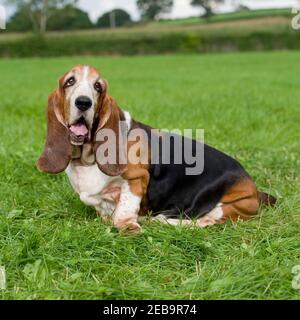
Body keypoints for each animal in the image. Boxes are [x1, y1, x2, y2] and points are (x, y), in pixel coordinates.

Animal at [37, 65, 276, 234]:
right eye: (70, 81)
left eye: (98, 87)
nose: (84, 102)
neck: (87, 158)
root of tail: (255, 189)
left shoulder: (137, 179)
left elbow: (123, 212)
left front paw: (129, 225)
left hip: (227, 206)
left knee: (203, 222)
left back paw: (163, 220)